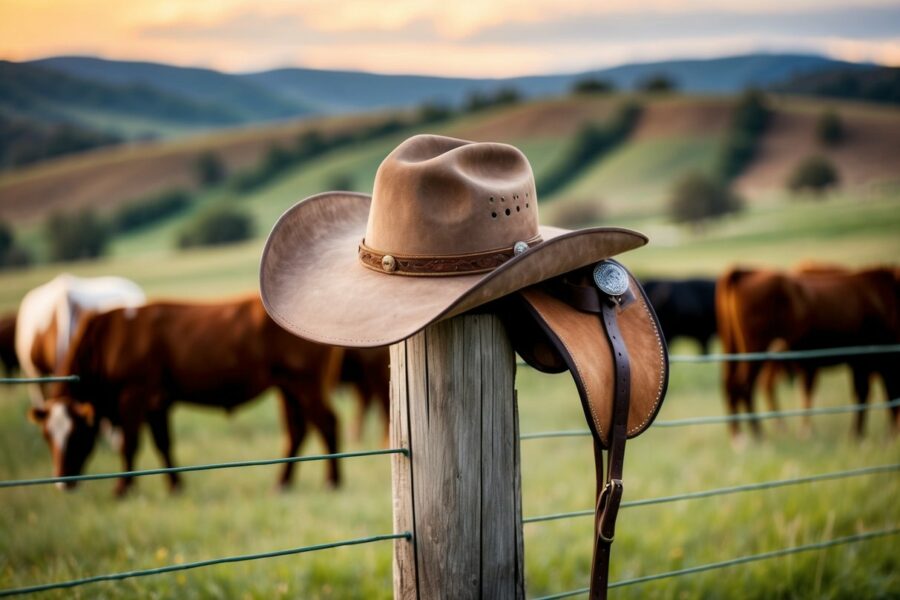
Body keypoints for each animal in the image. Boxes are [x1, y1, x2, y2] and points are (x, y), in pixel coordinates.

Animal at [28, 296, 344, 496]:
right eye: (46, 435)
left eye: (77, 435)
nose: (63, 482)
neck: (109, 338)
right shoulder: (157, 402)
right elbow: (163, 443)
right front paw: (175, 485)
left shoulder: (134, 395)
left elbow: (129, 444)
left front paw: (123, 488)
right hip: (287, 388)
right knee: (296, 431)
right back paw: (283, 483)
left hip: (305, 383)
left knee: (327, 424)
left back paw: (332, 481)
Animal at [716, 264, 900, 438]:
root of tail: (743, 272)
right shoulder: (863, 360)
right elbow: (865, 394)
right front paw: (859, 435)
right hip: (756, 352)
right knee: (743, 386)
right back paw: (755, 435)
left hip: (738, 349)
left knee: (737, 385)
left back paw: (744, 433)